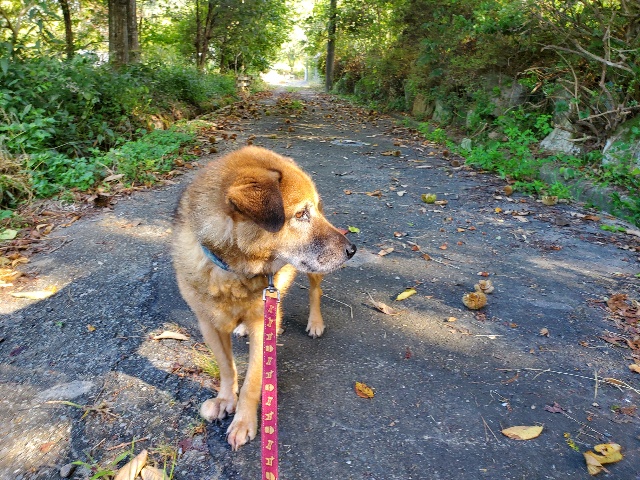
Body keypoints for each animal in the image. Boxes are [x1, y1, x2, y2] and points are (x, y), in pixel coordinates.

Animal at [172, 146, 356, 450]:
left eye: (313, 210)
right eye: (301, 214)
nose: (353, 249)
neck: (234, 270)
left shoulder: (262, 326)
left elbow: (253, 379)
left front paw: (244, 421)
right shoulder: (208, 324)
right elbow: (227, 367)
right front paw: (225, 399)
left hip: (313, 273)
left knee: (315, 293)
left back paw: (315, 322)